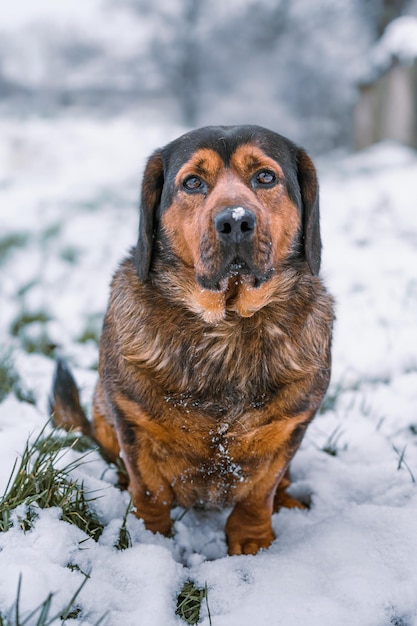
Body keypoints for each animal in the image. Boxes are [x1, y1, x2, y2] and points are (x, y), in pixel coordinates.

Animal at [50, 124, 334, 552]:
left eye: (265, 177)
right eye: (193, 182)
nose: (235, 222)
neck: (227, 325)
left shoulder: (290, 427)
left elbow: (259, 493)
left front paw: (252, 542)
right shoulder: (132, 422)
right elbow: (150, 491)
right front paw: (150, 541)